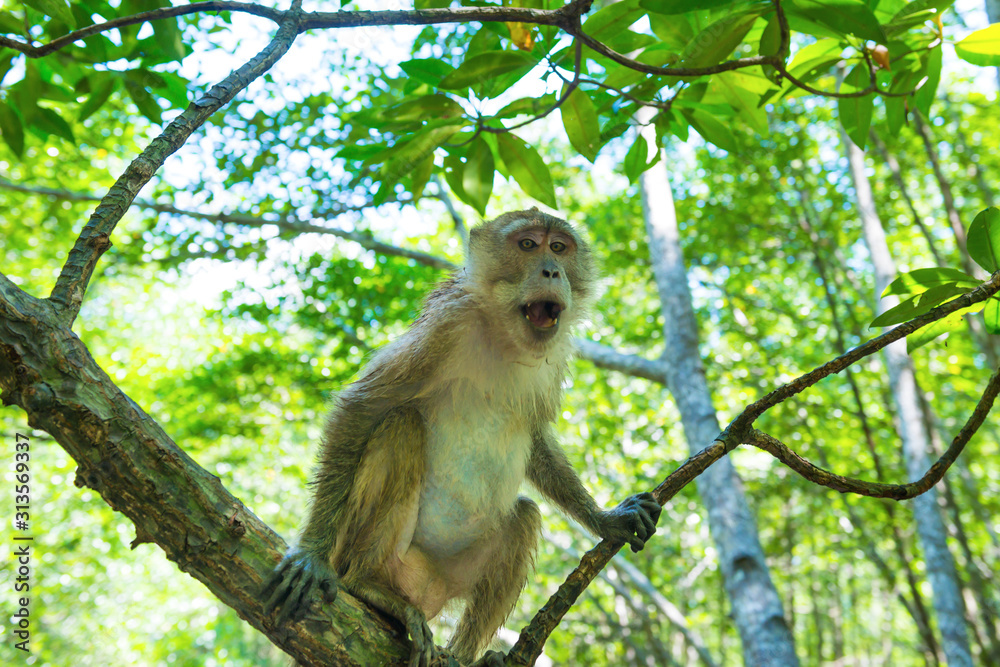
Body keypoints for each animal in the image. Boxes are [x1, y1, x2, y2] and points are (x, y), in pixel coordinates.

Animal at [262, 208, 661, 667]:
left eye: (559, 247)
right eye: (528, 244)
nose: (551, 270)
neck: (504, 336)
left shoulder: (555, 354)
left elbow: (536, 440)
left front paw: (606, 519)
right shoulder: (446, 325)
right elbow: (363, 408)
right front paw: (310, 555)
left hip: (448, 575)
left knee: (524, 516)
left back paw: (466, 656)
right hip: (370, 550)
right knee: (402, 425)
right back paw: (367, 584)